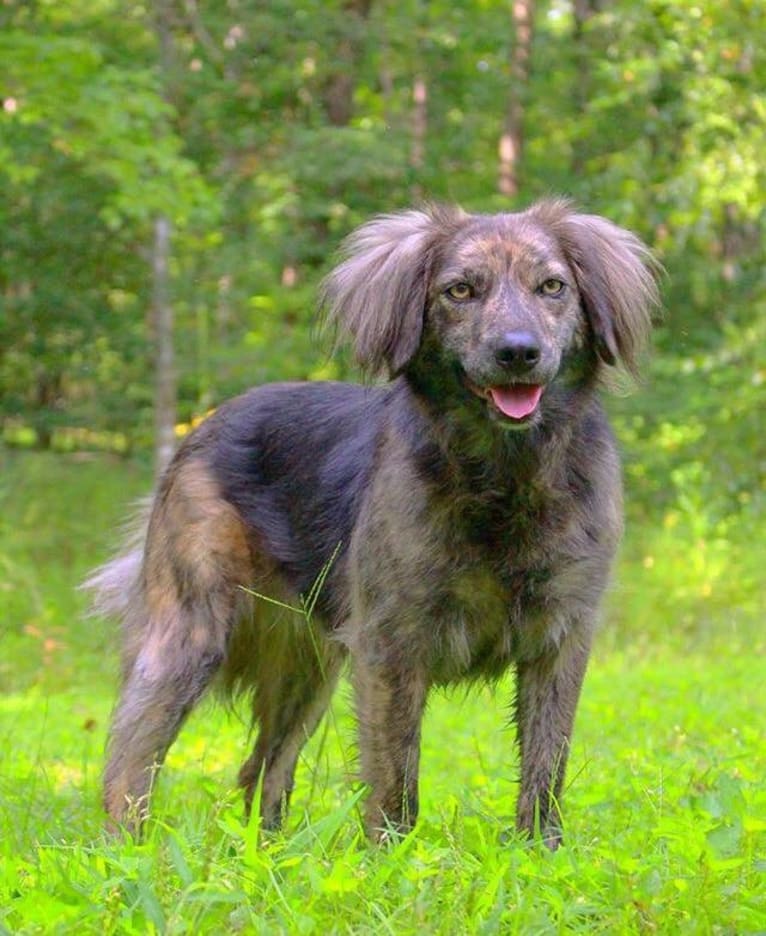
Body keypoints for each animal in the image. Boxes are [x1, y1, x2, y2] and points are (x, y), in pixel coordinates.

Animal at [85, 199, 660, 848]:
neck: (504, 478)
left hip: (308, 668)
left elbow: (545, 767)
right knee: (130, 764)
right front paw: (393, 860)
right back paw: (126, 854)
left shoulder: (561, 640)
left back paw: (272, 855)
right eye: (460, 290)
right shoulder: (390, 645)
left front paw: (541, 854)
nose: (518, 352)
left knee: (262, 771)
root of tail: (205, 423)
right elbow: (394, 777)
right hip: (189, 636)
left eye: (553, 287)